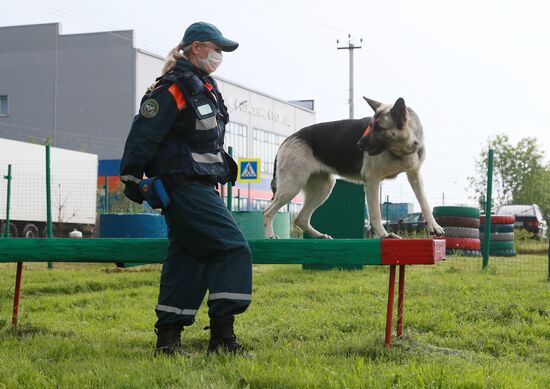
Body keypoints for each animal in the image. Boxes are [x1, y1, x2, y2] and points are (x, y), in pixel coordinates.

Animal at [264, 95, 448, 238]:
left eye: (379, 127)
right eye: (371, 125)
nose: (358, 144)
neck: (400, 149)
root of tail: (287, 140)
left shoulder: (414, 175)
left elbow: (424, 202)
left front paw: (434, 226)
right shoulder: (372, 180)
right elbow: (375, 213)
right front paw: (384, 235)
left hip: (324, 188)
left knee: (300, 219)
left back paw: (319, 235)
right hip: (293, 186)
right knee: (268, 211)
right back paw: (270, 236)